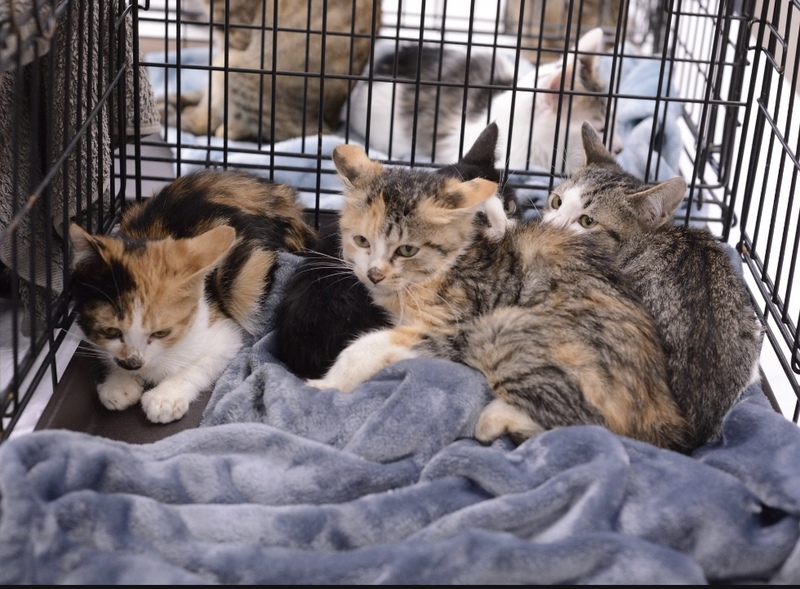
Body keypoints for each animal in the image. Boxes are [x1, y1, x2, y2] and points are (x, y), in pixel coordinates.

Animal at [68, 169, 316, 424]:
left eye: (161, 333)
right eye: (110, 331)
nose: (133, 362)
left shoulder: (223, 335)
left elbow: (198, 366)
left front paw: (165, 398)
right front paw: (118, 385)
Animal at [176, 0, 381, 142]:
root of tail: (329, 121)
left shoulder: (235, 35)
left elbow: (212, 100)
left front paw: (197, 118)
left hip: (234, 66)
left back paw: (225, 127)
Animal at [305, 142, 693, 453]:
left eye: (407, 249)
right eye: (361, 241)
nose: (374, 274)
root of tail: (669, 417)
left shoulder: (457, 323)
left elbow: (366, 347)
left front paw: (326, 384)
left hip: (499, 331)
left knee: (590, 429)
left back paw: (493, 419)